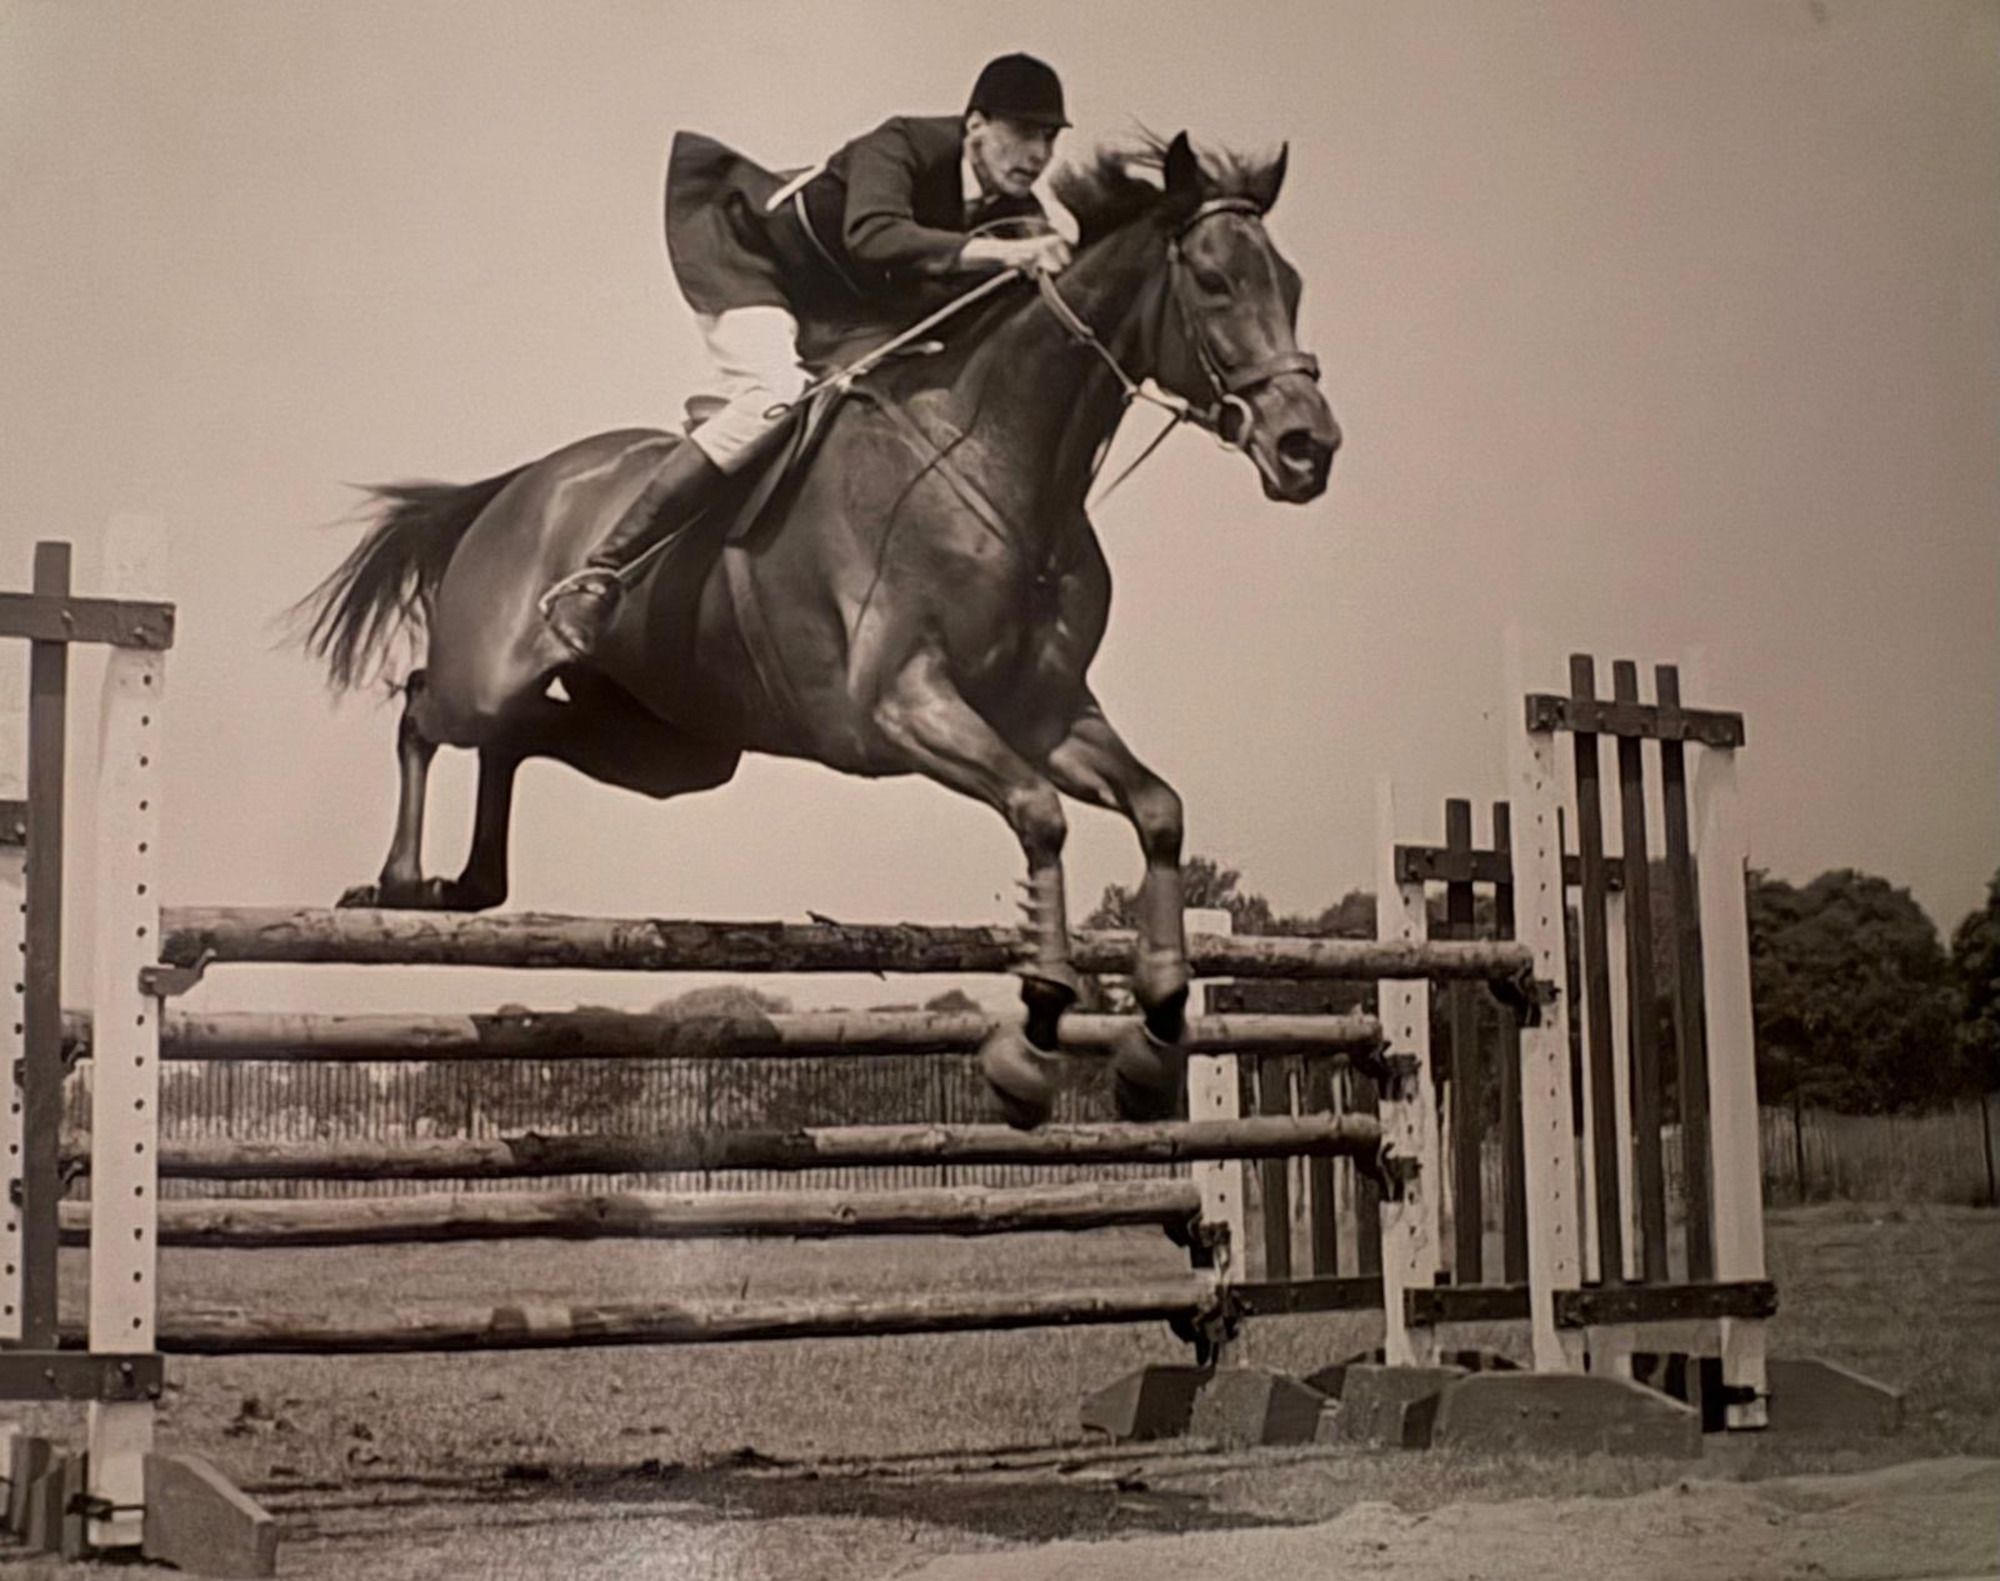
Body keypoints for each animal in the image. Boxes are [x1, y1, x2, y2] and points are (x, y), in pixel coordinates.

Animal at [295, 131, 1339, 1128]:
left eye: (1292, 284)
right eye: (1214, 282)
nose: (1309, 448)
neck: (1002, 464)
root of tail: (514, 486)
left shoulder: (1045, 711)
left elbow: (1157, 810)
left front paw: (1153, 1040)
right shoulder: (903, 705)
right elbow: (1039, 814)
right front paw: (1031, 1039)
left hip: (674, 750)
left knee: (516, 741)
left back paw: (465, 888)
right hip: (495, 672)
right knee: (427, 709)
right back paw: (397, 882)